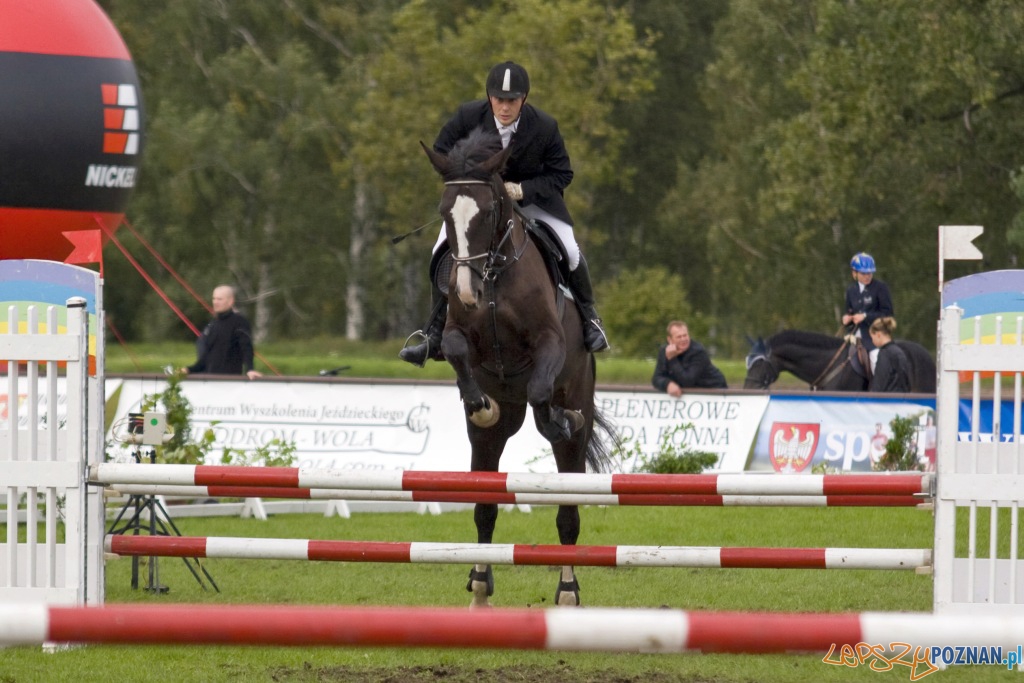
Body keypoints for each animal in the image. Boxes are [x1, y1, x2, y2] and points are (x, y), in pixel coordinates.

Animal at [419, 129, 610, 610]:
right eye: (444, 213)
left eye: (488, 212)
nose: (467, 292)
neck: (493, 274)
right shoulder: (458, 334)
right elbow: (454, 349)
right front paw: (480, 404)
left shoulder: (549, 343)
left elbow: (542, 391)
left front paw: (559, 417)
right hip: (491, 440)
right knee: (485, 506)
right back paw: (479, 586)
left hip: (575, 421)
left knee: (568, 513)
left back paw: (567, 590)